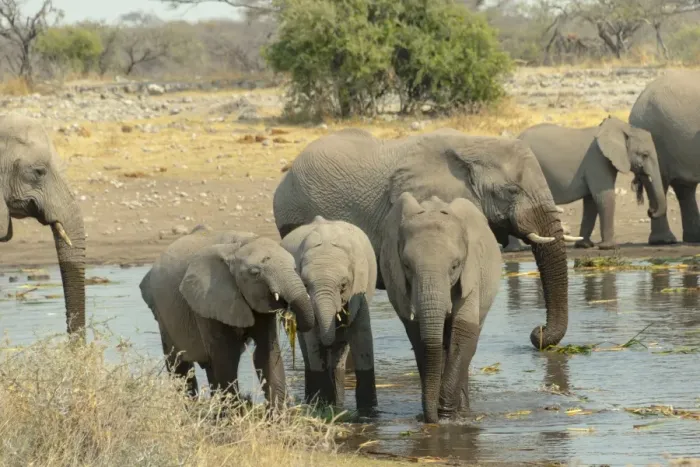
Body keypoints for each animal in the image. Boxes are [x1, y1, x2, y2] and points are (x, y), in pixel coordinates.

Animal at [138, 229, 314, 408]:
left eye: (294, 267)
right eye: (255, 273)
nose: (290, 314)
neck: (237, 247)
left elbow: (266, 353)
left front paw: (279, 414)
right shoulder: (207, 300)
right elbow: (227, 356)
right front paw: (235, 412)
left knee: (208, 366)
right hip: (162, 314)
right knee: (180, 364)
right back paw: (192, 409)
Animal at [280, 215, 378, 413]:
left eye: (343, 285)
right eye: (305, 285)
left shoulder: (360, 287)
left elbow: (361, 335)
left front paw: (369, 412)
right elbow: (313, 342)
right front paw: (322, 405)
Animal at [380, 192, 502, 423]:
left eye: (455, 266)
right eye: (407, 266)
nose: (431, 418)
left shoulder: (471, 272)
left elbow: (463, 334)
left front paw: (447, 417)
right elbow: (419, 339)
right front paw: (437, 414)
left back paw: (463, 412)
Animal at [506, 116, 666, 250]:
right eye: (645, 155)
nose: (650, 211)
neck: (622, 128)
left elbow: (591, 202)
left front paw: (585, 246)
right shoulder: (597, 160)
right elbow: (604, 197)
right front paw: (609, 247)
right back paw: (515, 249)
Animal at [629, 70, 700, 245]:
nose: (649, 211)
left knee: (684, 187)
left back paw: (693, 238)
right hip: (655, 136)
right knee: (661, 182)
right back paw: (664, 240)